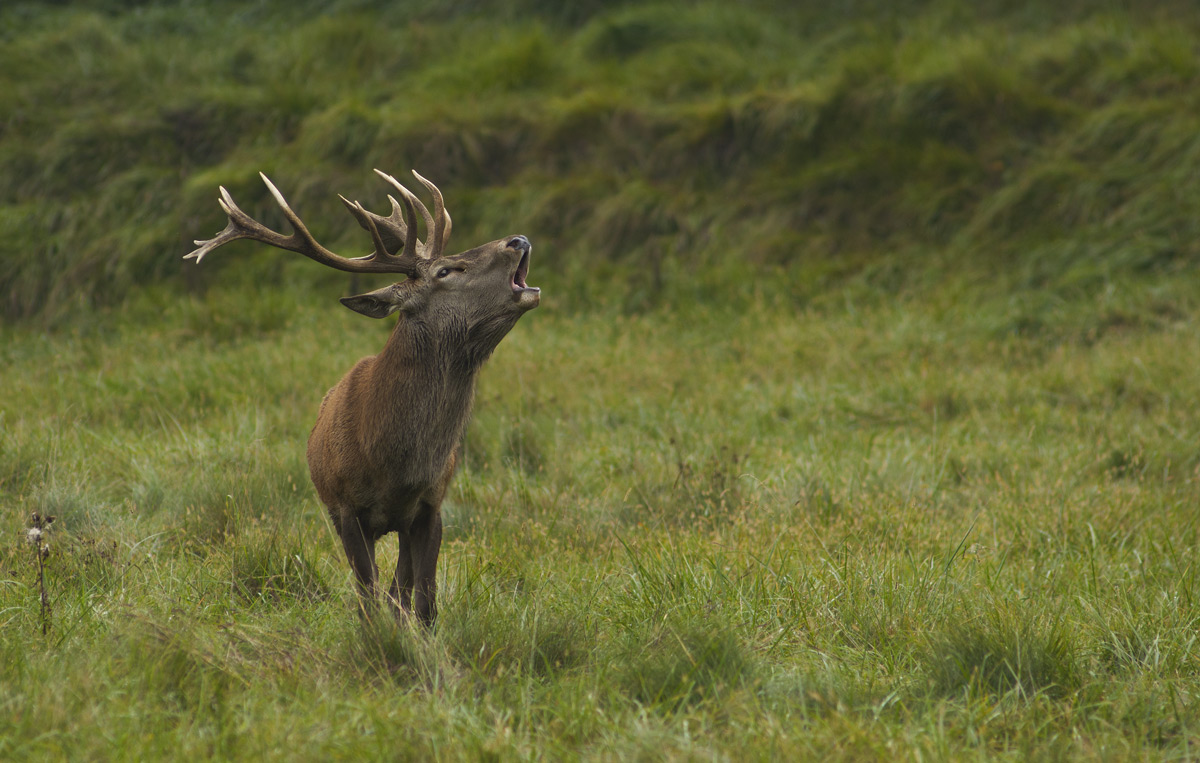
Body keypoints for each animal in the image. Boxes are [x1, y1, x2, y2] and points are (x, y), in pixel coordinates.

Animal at [184, 168, 540, 625]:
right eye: (446, 270)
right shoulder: (346, 508)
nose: (518, 239)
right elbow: (367, 599)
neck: (392, 462)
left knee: (399, 590)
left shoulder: (431, 505)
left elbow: (422, 602)